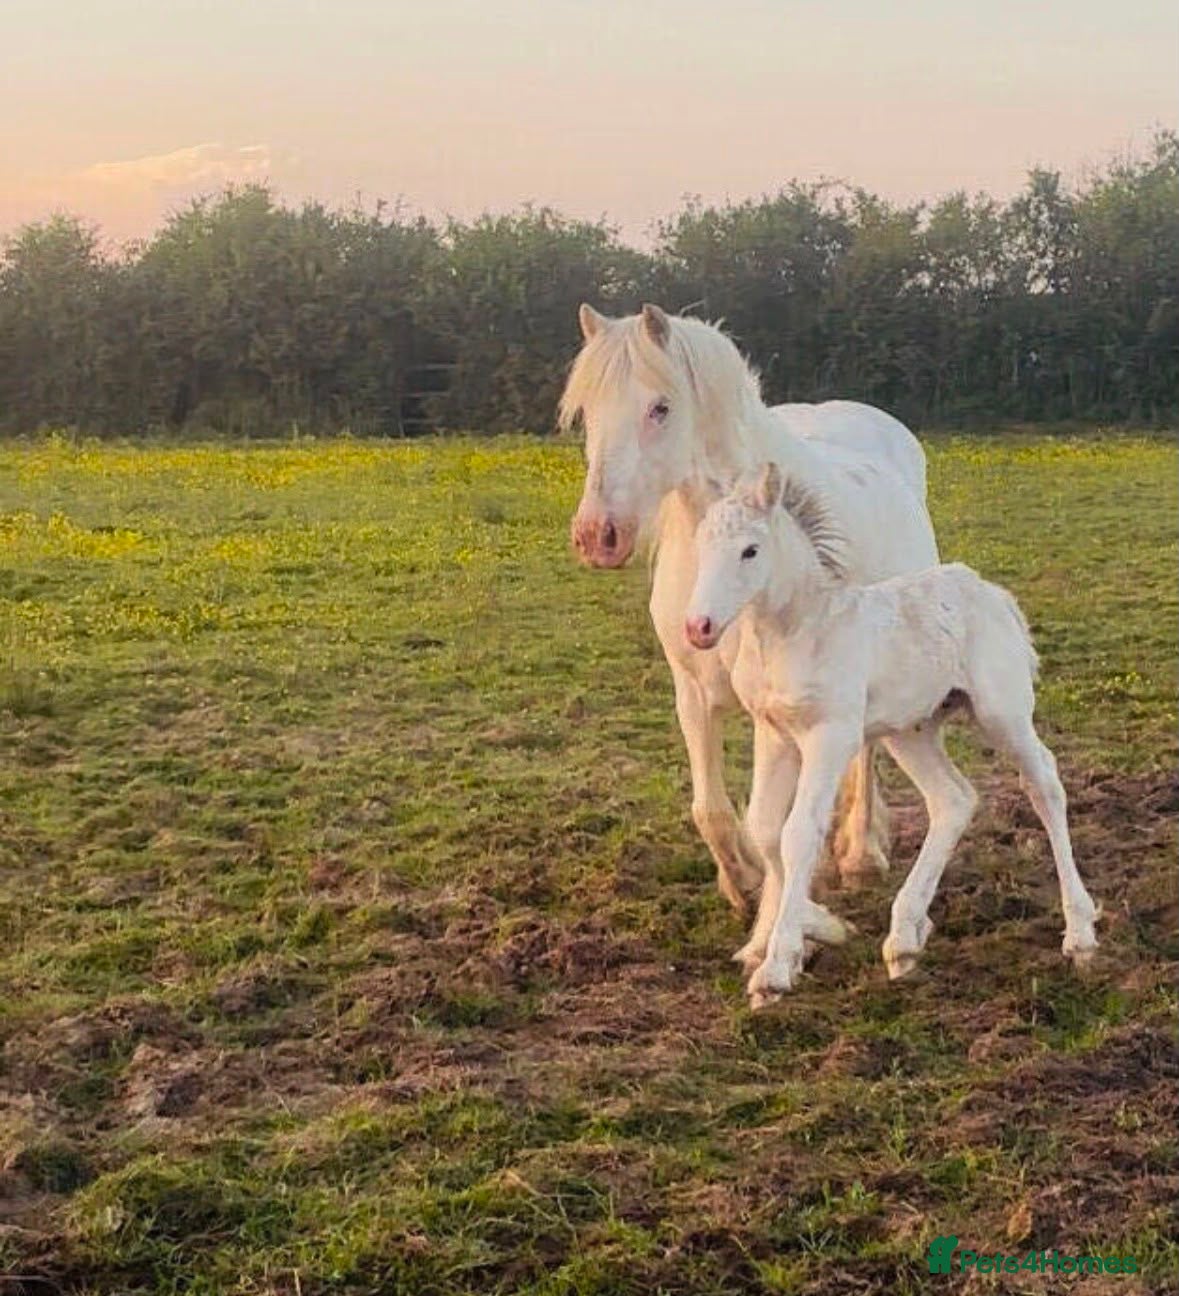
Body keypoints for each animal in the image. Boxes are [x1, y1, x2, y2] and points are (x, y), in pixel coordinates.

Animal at [562, 303, 938, 925]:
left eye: (660, 407)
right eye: (587, 412)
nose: (598, 536)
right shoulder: (692, 693)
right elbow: (710, 809)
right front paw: (741, 881)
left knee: (866, 757)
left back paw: (860, 853)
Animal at [686, 462, 1100, 1007]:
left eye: (750, 550)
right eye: (701, 544)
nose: (698, 626)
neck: (797, 633)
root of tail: (993, 594)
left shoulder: (831, 735)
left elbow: (799, 833)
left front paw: (777, 967)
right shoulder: (773, 733)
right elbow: (763, 827)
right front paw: (819, 929)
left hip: (1003, 712)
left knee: (1044, 786)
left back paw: (1081, 935)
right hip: (911, 732)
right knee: (953, 799)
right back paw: (904, 938)